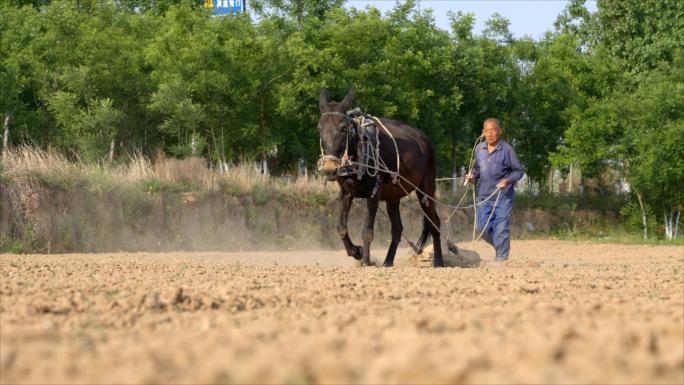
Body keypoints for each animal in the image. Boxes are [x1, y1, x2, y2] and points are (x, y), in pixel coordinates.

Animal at [320, 88, 446, 268]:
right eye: (320, 127)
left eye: (343, 128)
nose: (330, 168)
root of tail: (425, 140)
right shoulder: (346, 193)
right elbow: (341, 227)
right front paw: (356, 252)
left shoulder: (374, 192)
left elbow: (367, 230)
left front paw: (366, 260)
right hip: (393, 197)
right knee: (397, 229)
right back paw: (388, 261)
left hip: (426, 189)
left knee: (434, 222)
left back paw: (439, 261)